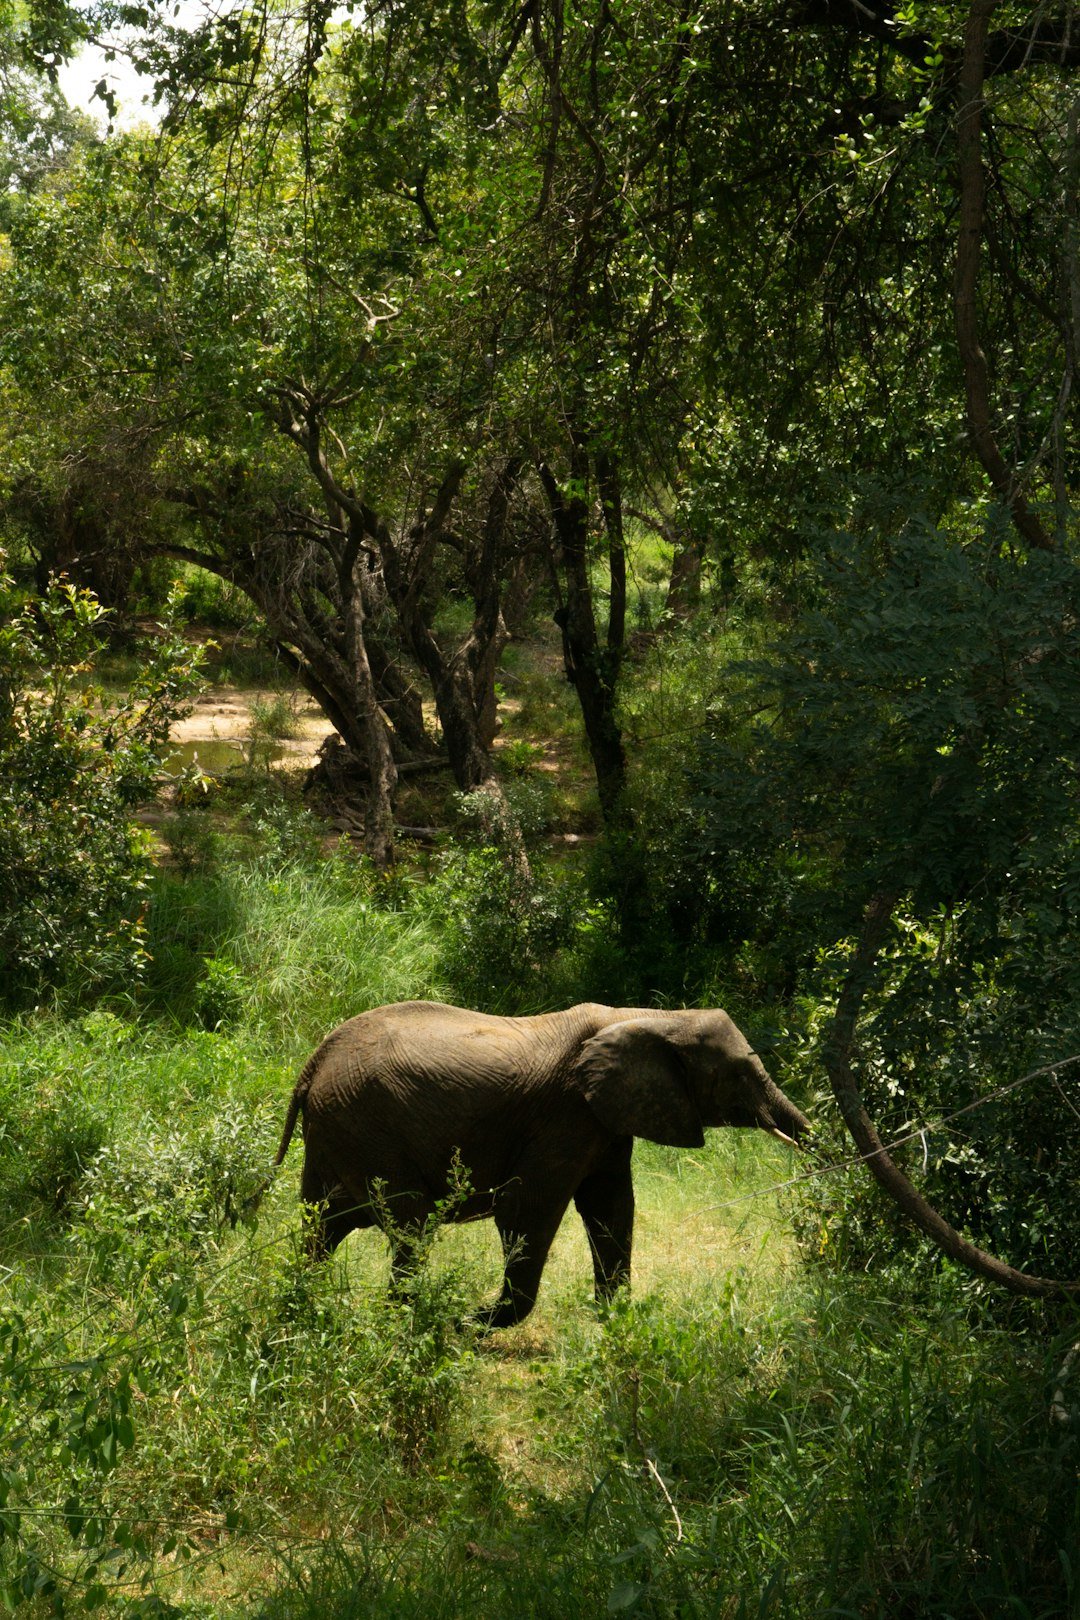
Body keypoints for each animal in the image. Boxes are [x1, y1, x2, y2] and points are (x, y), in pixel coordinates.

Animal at [270, 1000, 810, 1329]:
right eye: (740, 1073)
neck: (648, 1017)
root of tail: (313, 1063)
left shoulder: (604, 1118)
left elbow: (611, 1206)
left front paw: (615, 1322)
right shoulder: (567, 1113)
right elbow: (528, 1207)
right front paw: (474, 1323)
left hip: (339, 1129)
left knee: (323, 1223)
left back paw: (300, 1306)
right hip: (365, 1123)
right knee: (410, 1224)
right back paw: (409, 1318)